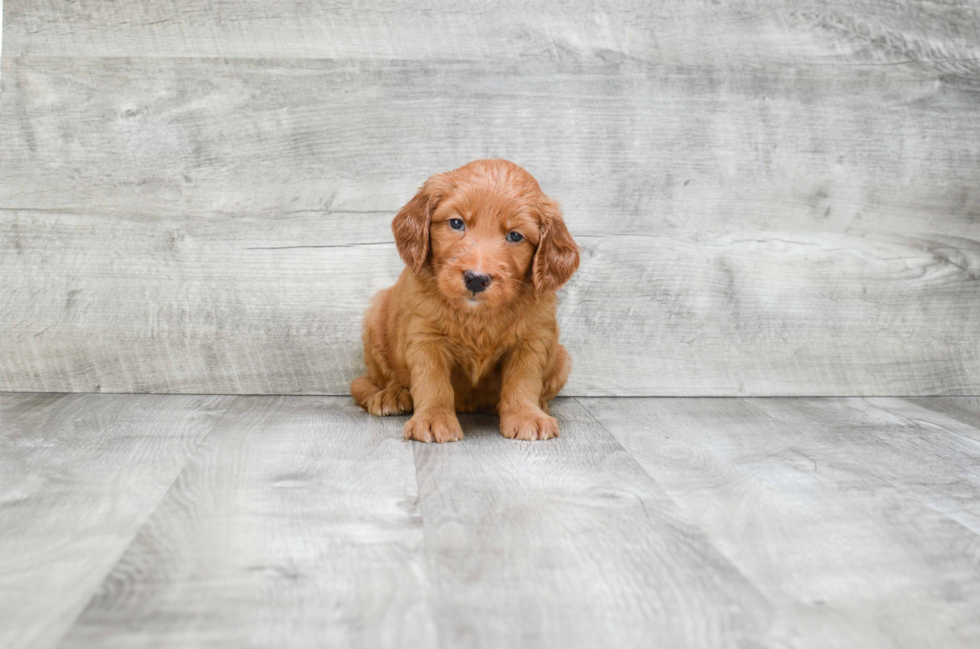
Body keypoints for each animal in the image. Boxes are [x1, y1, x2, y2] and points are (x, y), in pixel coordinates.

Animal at [352, 158, 580, 440]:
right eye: (456, 223)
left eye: (515, 235)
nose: (476, 279)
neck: (477, 316)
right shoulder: (425, 337)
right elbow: (433, 382)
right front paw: (433, 418)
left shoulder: (532, 340)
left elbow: (523, 381)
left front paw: (527, 415)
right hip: (376, 318)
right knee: (371, 381)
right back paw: (392, 396)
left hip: (562, 359)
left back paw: (539, 406)